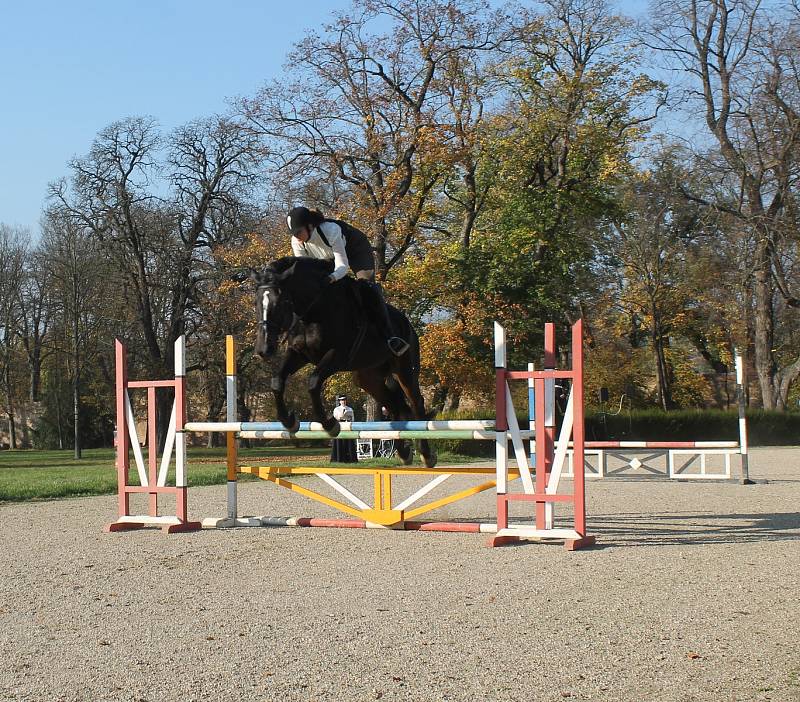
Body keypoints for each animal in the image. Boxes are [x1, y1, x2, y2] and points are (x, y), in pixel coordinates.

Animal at [253, 256, 438, 470]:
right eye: (257, 303)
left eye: (281, 302)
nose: (263, 349)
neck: (313, 311)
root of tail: (406, 322)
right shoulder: (298, 354)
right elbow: (277, 382)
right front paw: (290, 421)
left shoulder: (337, 356)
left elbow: (313, 382)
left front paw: (330, 424)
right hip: (368, 378)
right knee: (394, 406)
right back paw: (403, 453)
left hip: (405, 369)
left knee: (416, 403)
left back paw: (426, 454)